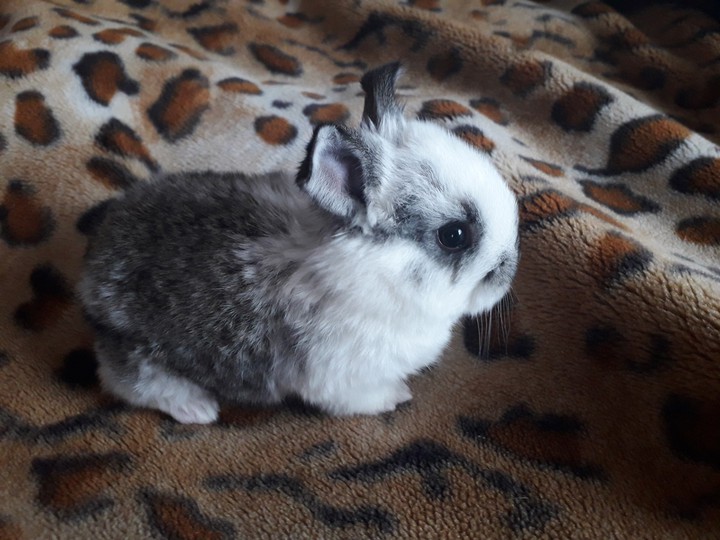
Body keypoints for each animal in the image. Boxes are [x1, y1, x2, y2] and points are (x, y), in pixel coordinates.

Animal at [78, 62, 519, 424]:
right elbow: (367, 397)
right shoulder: (346, 380)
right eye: (454, 235)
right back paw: (197, 409)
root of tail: (93, 270)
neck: (378, 271)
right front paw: (397, 396)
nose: (508, 267)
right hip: (139, 353)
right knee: (129, 381)